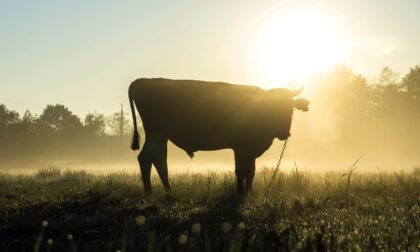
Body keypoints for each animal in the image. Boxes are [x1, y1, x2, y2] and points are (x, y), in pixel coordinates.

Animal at [128, 78, 308, 195]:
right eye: (273, 107)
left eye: (290, 109)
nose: (284, 132)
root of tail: (142, 81)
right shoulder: (241, 148)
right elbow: (241, 170)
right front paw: (240, 192)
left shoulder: (249, 150)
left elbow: (251, 171)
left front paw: (249, 192)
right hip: (157, 133)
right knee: (150, 158)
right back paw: (155, 192)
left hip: (160, 136)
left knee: (154, 159)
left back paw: (162, 191)